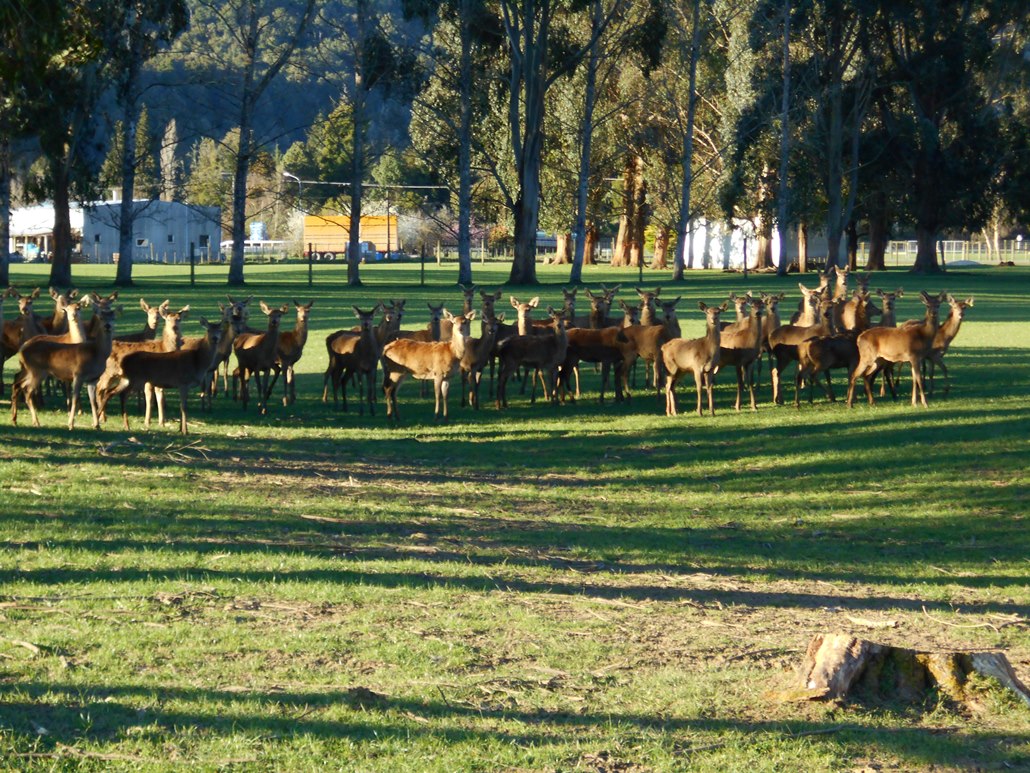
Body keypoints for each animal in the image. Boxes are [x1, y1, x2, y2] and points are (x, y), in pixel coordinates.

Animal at [10, 298, 116, 430]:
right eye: (101, 317)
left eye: (113, 317)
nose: (108, 326)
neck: (97, 352)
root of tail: (22, 349)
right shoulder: (78, 374)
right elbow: (74, 397)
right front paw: (71, 424)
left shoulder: (93, 379)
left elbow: (93, 400)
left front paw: (96, 425)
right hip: (37, 370)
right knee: (27, 390)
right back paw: (36, 422)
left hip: (29, 370)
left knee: (19, 385)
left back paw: (16, 420)